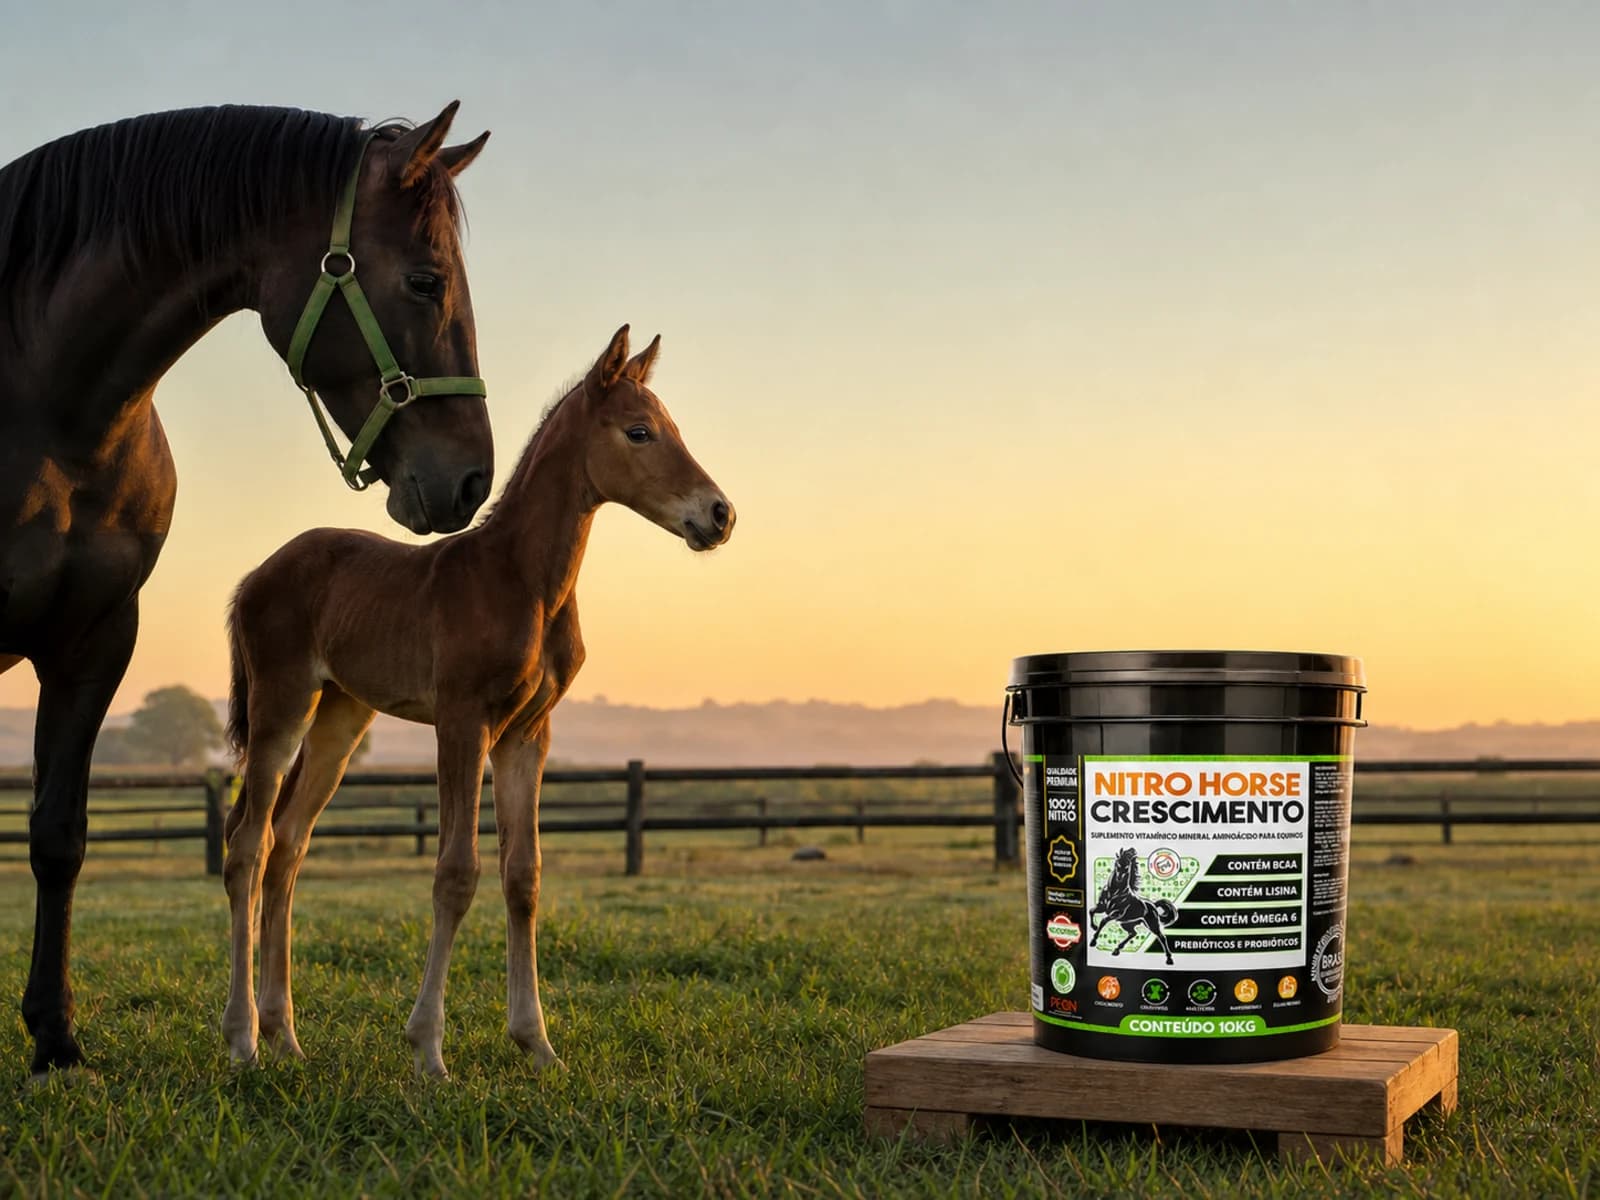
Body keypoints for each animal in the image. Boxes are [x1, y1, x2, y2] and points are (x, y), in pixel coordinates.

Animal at [0, 102, 495, 1078]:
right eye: (426, 282)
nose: (471, 480)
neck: (46, 401)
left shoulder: (95, 641)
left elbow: (58, 836)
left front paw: (56, 1038)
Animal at [221, 326, 734, 1077]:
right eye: (639, 432)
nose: (719, 514)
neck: (522, 581)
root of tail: (257, 575)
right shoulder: (462, 723)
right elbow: (456, 873)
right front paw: (428, 1050)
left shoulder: (527, 734)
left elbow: (523, 876)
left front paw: (537, 1044)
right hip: (281, 705)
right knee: (247, 848)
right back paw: (243, 1039)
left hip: (341, 718)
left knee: (288, 846)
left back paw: (286, 1035)